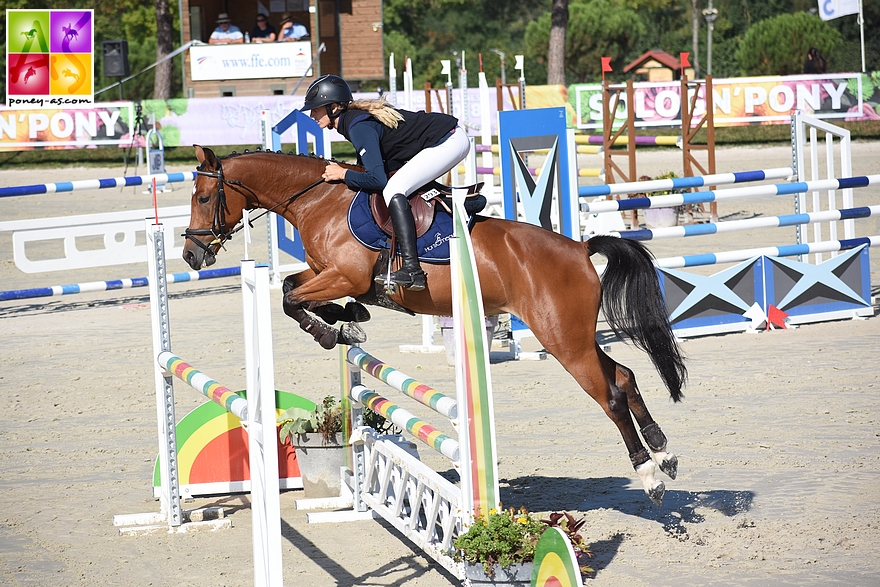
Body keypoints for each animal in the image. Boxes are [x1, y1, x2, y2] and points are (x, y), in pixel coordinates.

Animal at [180, 146, 688, 506]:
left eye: (204, 198)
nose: (190, 255)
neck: (319, 199)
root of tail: (581, 249)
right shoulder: (328, 274)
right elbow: (291, 287)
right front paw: (348, 322)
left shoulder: (347, 275)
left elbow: (291, 299)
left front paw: (333, 329)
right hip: (572, 335)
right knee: (624, 374)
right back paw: (665, 452)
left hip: (564, 340)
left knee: (612, 396)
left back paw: (649, 476)